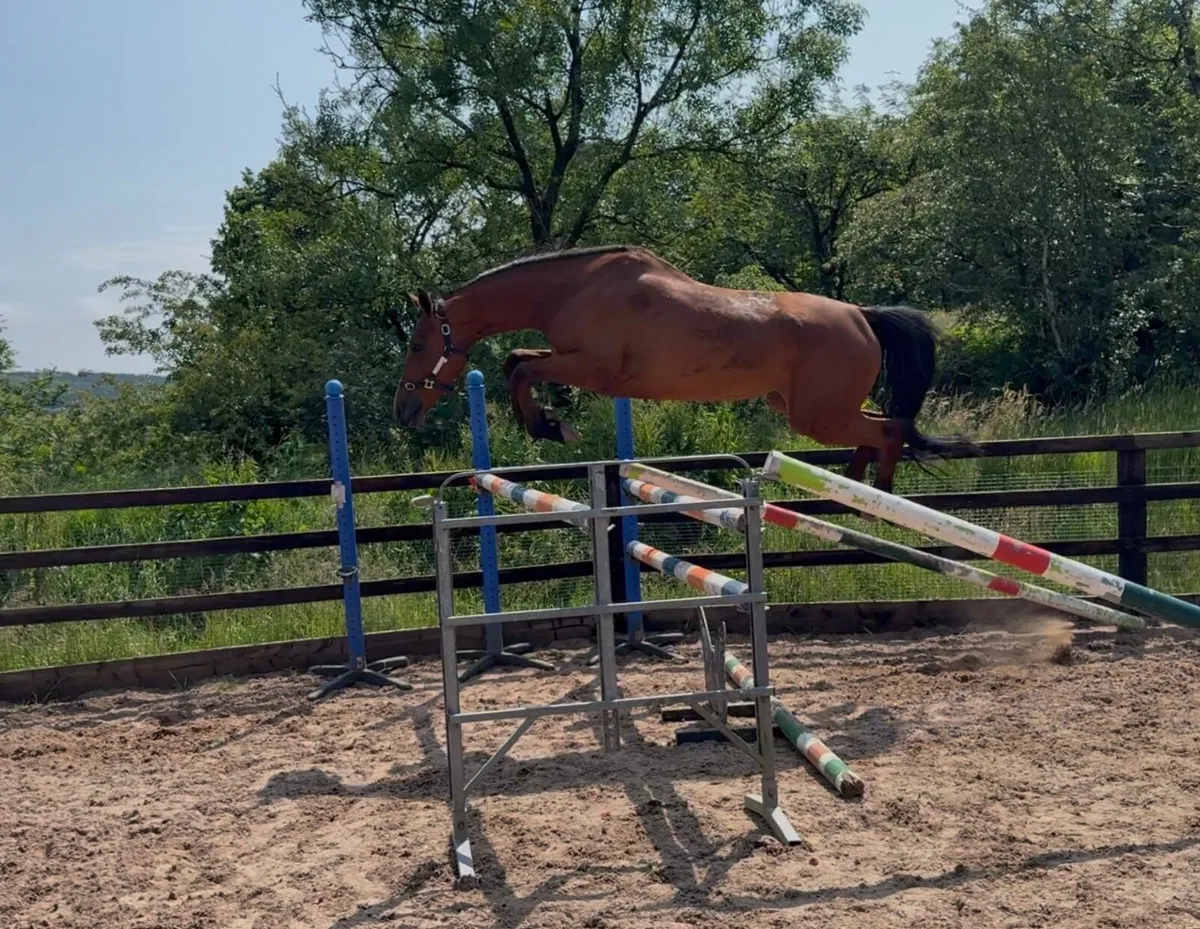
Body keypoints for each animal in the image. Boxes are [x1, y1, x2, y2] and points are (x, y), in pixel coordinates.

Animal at [391, 245, 979, 492]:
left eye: (418, 343)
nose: (404, 410)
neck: (573, 289)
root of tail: (862, 315)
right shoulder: (571, 361)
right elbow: (518, 362)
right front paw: (552, 425)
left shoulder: (594, 370)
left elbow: (520, 371)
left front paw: (551, 427)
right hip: (811, 408)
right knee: (880, 429)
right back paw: (845, 489)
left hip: (818, 416)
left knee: (890, 430)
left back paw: (870, 495)